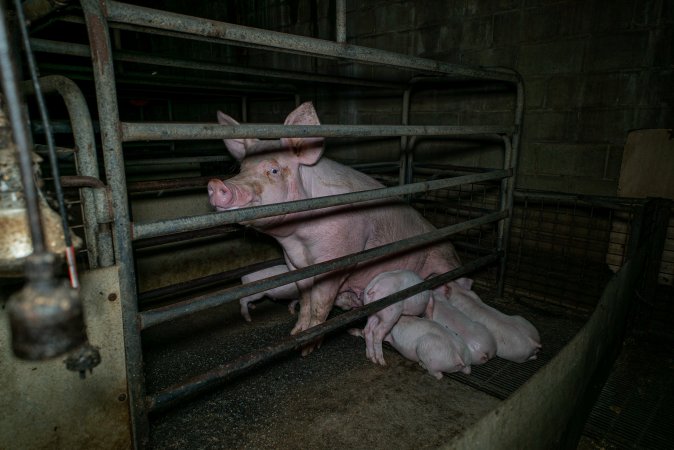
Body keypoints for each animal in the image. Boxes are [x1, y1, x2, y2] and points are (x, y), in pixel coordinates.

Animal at [209, 103, 468, 354]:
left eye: (274, 170)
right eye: (241, 168)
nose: (216, 184)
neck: (298, 239)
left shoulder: (339, 257)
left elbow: (320, 305)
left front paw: (306, 349)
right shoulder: (294, 263)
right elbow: (305, 299)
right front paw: (295, 334)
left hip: (444, 261)